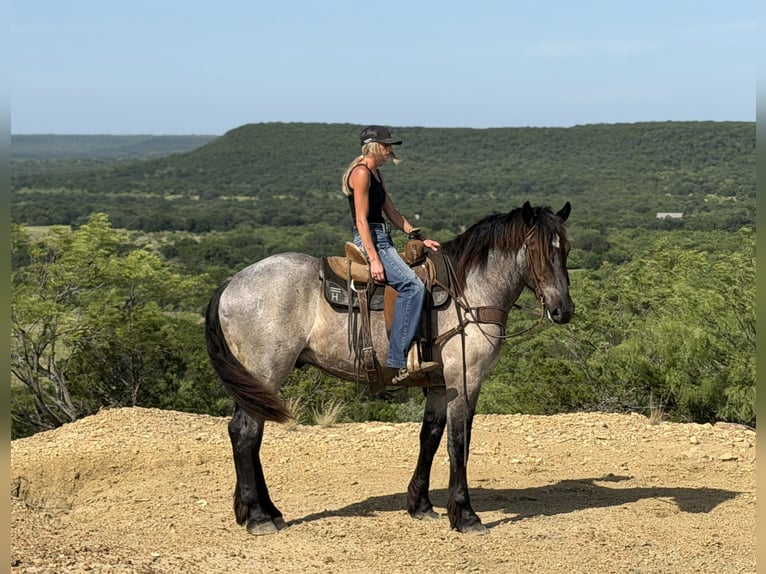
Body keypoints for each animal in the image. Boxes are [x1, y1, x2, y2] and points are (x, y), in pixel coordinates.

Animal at [205, 201, 574, 535]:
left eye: (566, 249)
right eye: (538, 250)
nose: (563, 310)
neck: (469, 292)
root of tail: (231, 282)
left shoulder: (439, 384)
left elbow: (430, 437)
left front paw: (421, 505)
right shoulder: (465, 379)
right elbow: (458, 442)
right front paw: (466, 516)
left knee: (249, 434)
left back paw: (267, 510)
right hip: (266, 371)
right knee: (245, 432)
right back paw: (258, 517)